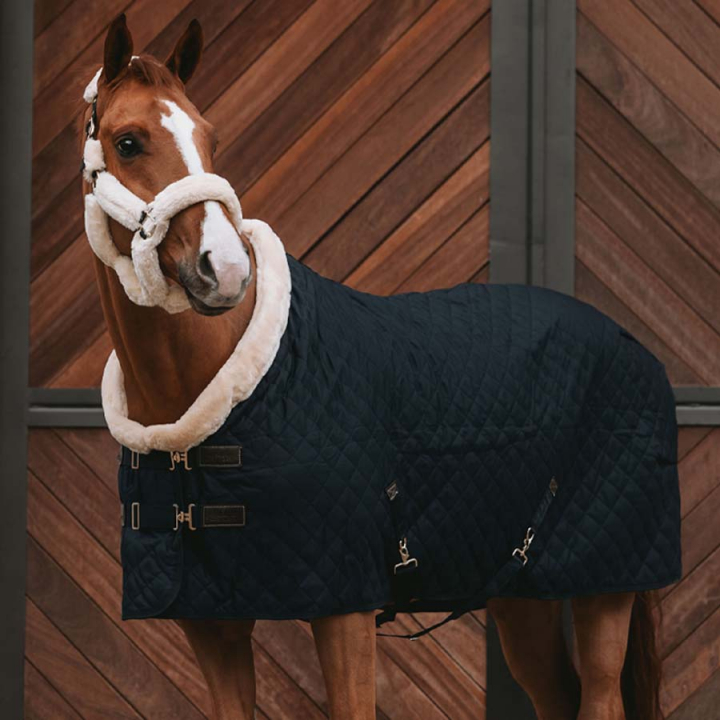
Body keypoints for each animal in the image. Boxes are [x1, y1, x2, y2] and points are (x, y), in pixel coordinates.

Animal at [79, 14, 679, 720]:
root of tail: (629, 341)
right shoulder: (211, 626)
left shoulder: (345, 611)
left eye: (210, 137)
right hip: (520, 595)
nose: (224, 269)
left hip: (604, 589)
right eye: (128, 141)